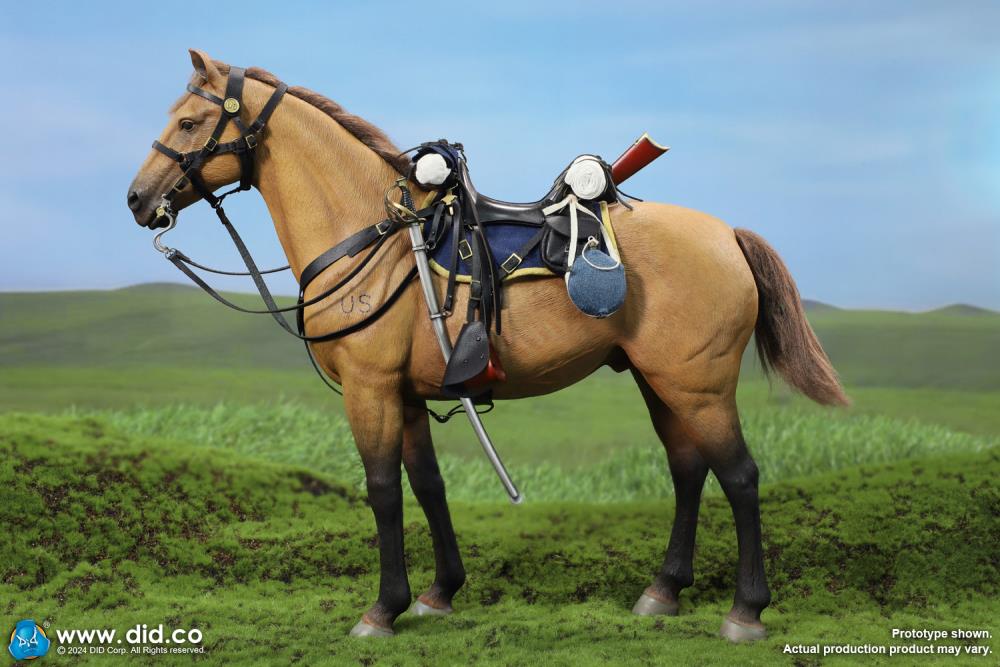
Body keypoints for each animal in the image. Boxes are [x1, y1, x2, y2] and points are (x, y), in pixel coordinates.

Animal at [126, 49, 848, 642]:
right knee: (689, 469)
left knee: (741, 476)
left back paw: (745, 610)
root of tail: (727, 234)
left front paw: (381, 610)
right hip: (659, 381)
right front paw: (438, 592)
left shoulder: (369, 389)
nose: (137, 198)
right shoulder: (406, 395)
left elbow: (383, 489)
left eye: (189, 122)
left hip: (699, 385)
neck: (374, 234)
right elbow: (428, 484)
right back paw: (663, 591)